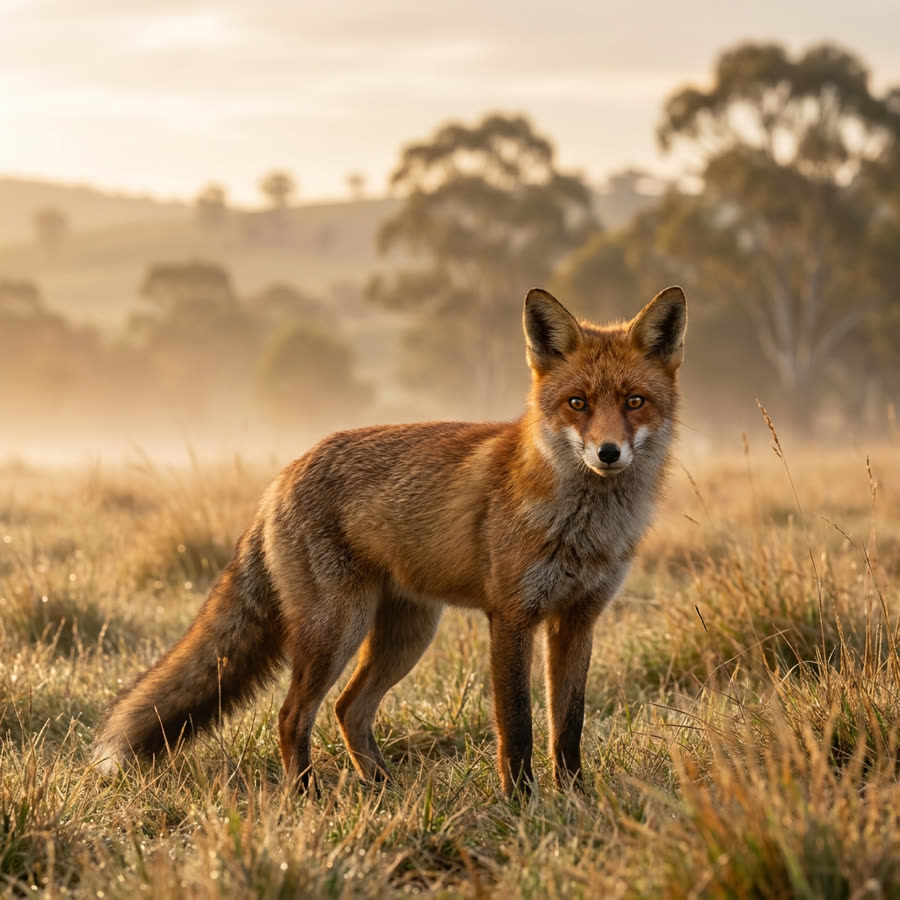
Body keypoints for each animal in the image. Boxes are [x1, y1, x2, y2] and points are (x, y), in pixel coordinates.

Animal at [92, 285, 686, 796]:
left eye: (634, 402)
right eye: (577, 403)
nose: (608, 452)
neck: (584, 527)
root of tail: (281, 476)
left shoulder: (578, 619)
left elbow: (569, 726)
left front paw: (573, 798)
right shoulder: (512, 616)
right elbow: (517, 727)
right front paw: (521, 804)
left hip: (407, 634)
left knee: (347, 709)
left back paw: (382, 788)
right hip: (337, 629)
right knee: (292, 715)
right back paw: (306, 797)